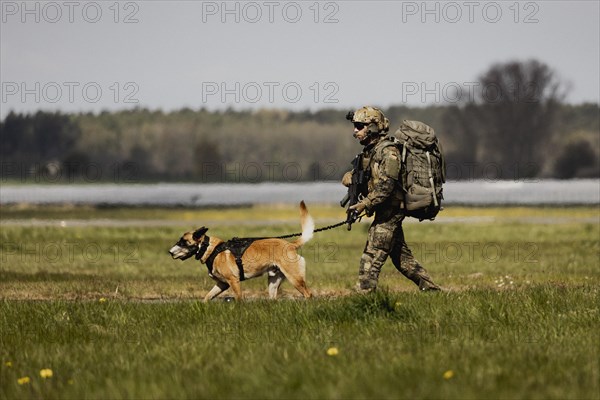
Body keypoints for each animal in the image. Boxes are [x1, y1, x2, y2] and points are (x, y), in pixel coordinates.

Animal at [169, 203, 314, 300]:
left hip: (295, 279)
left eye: (183, 242)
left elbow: (239, 299)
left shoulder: (233, 281)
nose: (170, 252)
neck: (212, 250)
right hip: (273, 282)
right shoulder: (222, 284)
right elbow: (207, 298)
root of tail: (290, 244)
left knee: (309, 294)